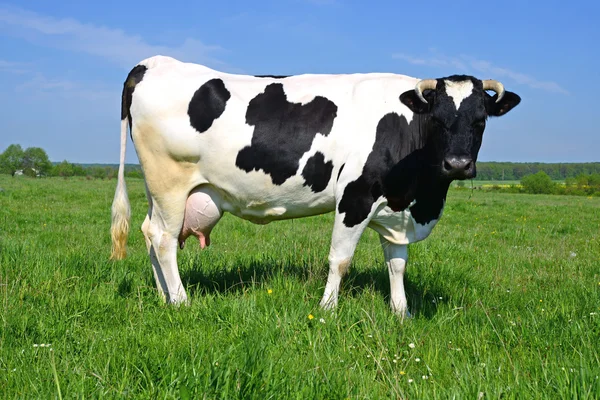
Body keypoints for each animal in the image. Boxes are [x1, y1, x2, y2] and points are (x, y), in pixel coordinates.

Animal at [109, 54, 520, 318]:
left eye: (481, 120)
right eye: (437, 118)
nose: (458, 164)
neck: (420, 197)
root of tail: (154, 62)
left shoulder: (396, 208)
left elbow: (397, 263)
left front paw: (401, 313)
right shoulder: (355, 197)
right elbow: (340, 260)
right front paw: (327, 310)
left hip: (158, 188)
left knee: (149, 232)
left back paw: (163, 296)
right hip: (169, 181)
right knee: (163, 239)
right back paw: (181, 302)